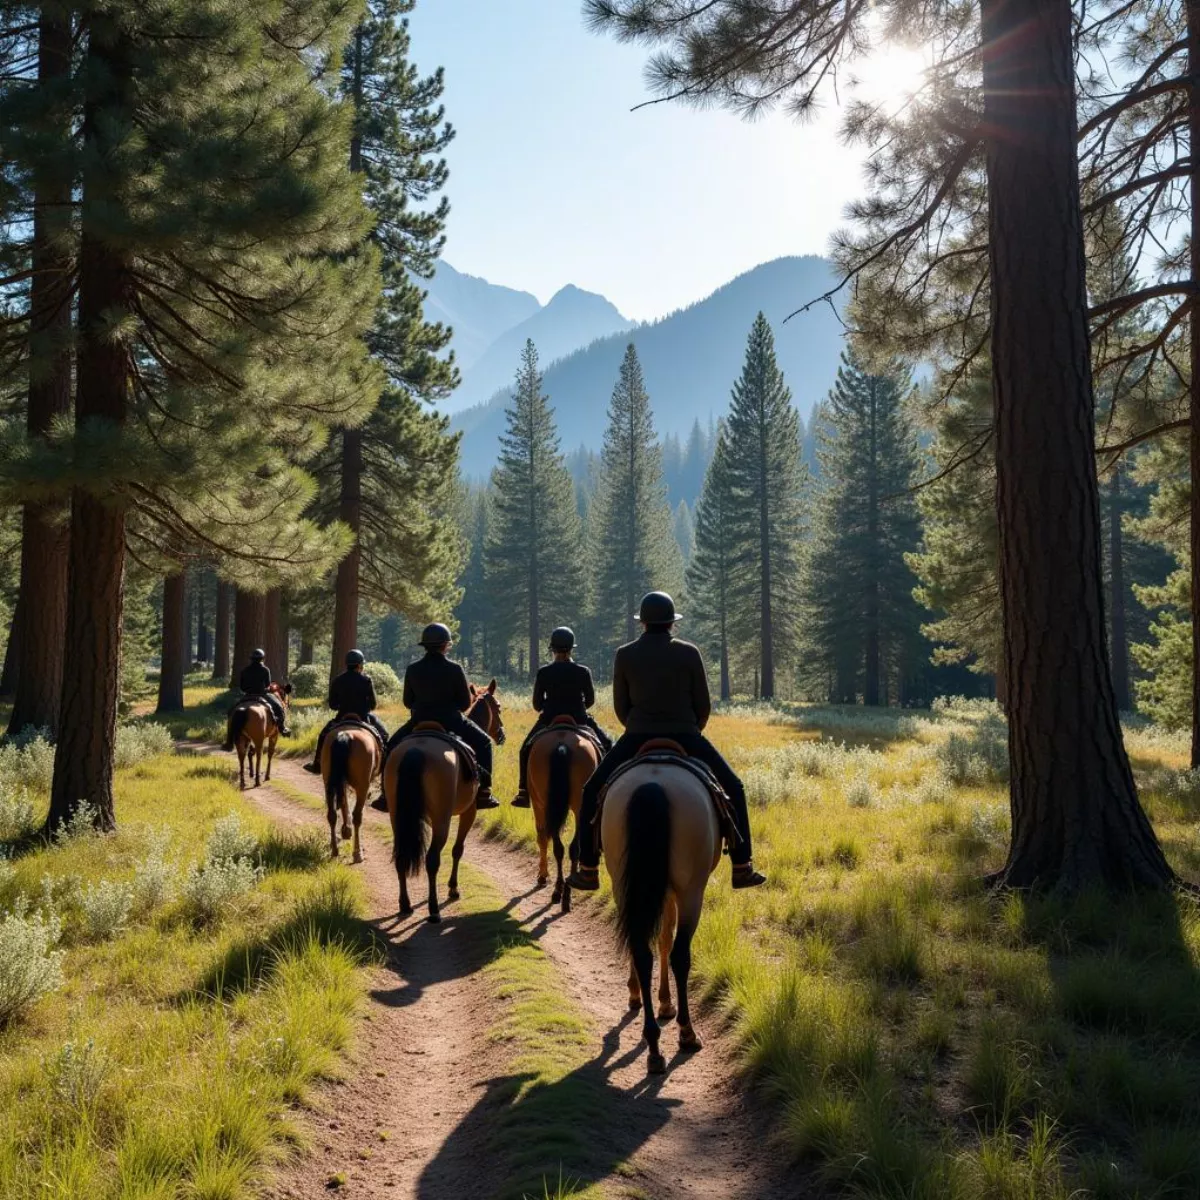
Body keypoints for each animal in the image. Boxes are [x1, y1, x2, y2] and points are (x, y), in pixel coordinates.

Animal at [321, 720, 381, 864]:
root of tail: (345, 735)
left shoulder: (341, 781)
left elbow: (344, 803)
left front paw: (346, 830)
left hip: (329, 783)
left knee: (332, 814)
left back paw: (334, 849)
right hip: (362, 787)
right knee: (357, 817)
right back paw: (357, 853)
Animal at [528, 715, 597, 912]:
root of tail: (562, 744)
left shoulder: (538, 804)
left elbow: (542, 837)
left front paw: (542, 875)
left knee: (559, 846)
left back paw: (560, 892)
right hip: (579, 806)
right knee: (573, 848)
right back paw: (565, 893)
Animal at [604, 748, 715, 1080]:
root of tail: (653, 785)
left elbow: (658, 939)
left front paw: (647, 998)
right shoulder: (676, 890)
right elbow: (668, 941)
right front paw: (667, 1005)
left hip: (623, 884)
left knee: (641, 949)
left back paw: (653, 1045)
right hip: (691, 891)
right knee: (681, 955)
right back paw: (686, 1034)